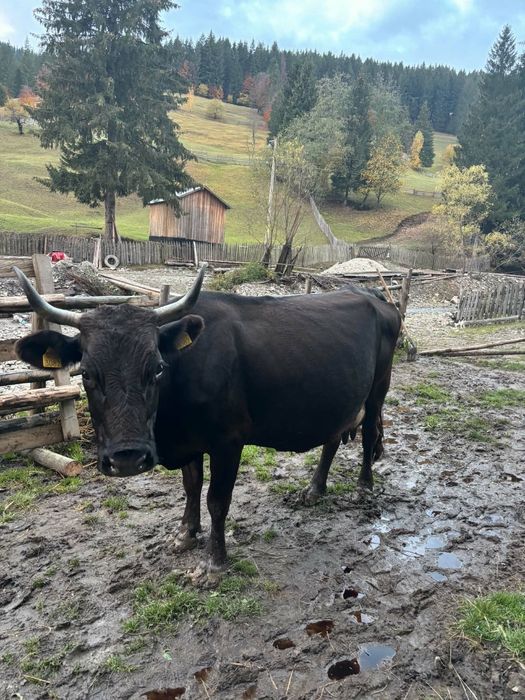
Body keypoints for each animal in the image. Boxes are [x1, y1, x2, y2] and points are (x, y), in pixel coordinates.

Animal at [14, 266, 401, 575]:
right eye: (87, 374)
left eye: (157, 368)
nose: (127, 458)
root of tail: (372, 294)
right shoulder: (191, 441)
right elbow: (191, 486)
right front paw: (185, 534)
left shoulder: (228, 441)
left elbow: (217, 499)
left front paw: (215, 561)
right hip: (339, 396)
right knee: (333, 437)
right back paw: (315, 488)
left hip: (379, 386)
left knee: (368, 433)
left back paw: (364, 486)